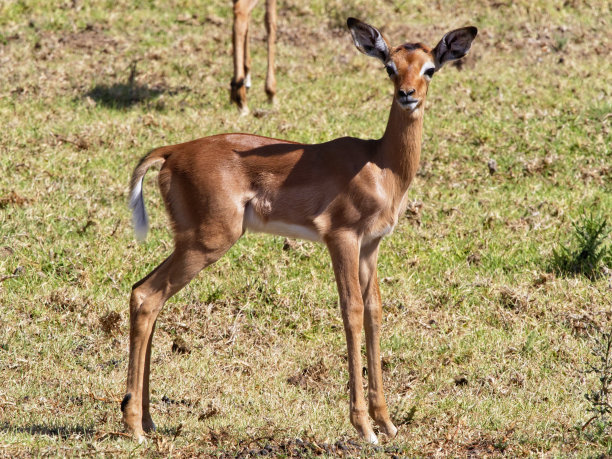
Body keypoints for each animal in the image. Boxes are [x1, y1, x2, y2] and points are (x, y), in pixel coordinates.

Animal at [122, 18, 476, 446]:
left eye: (430, 69)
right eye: (390, 67)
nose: (407, 95)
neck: (381, 165)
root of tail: (172, 152)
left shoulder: (371, 246)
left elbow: (374, 313)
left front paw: (387, 423)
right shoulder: (341, 238)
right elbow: (352, 311)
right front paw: (364, 427)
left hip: (190, 242)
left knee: (146, 295)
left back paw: (148, 420)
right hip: (208, 242)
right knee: (146, 296)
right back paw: (134, 426)